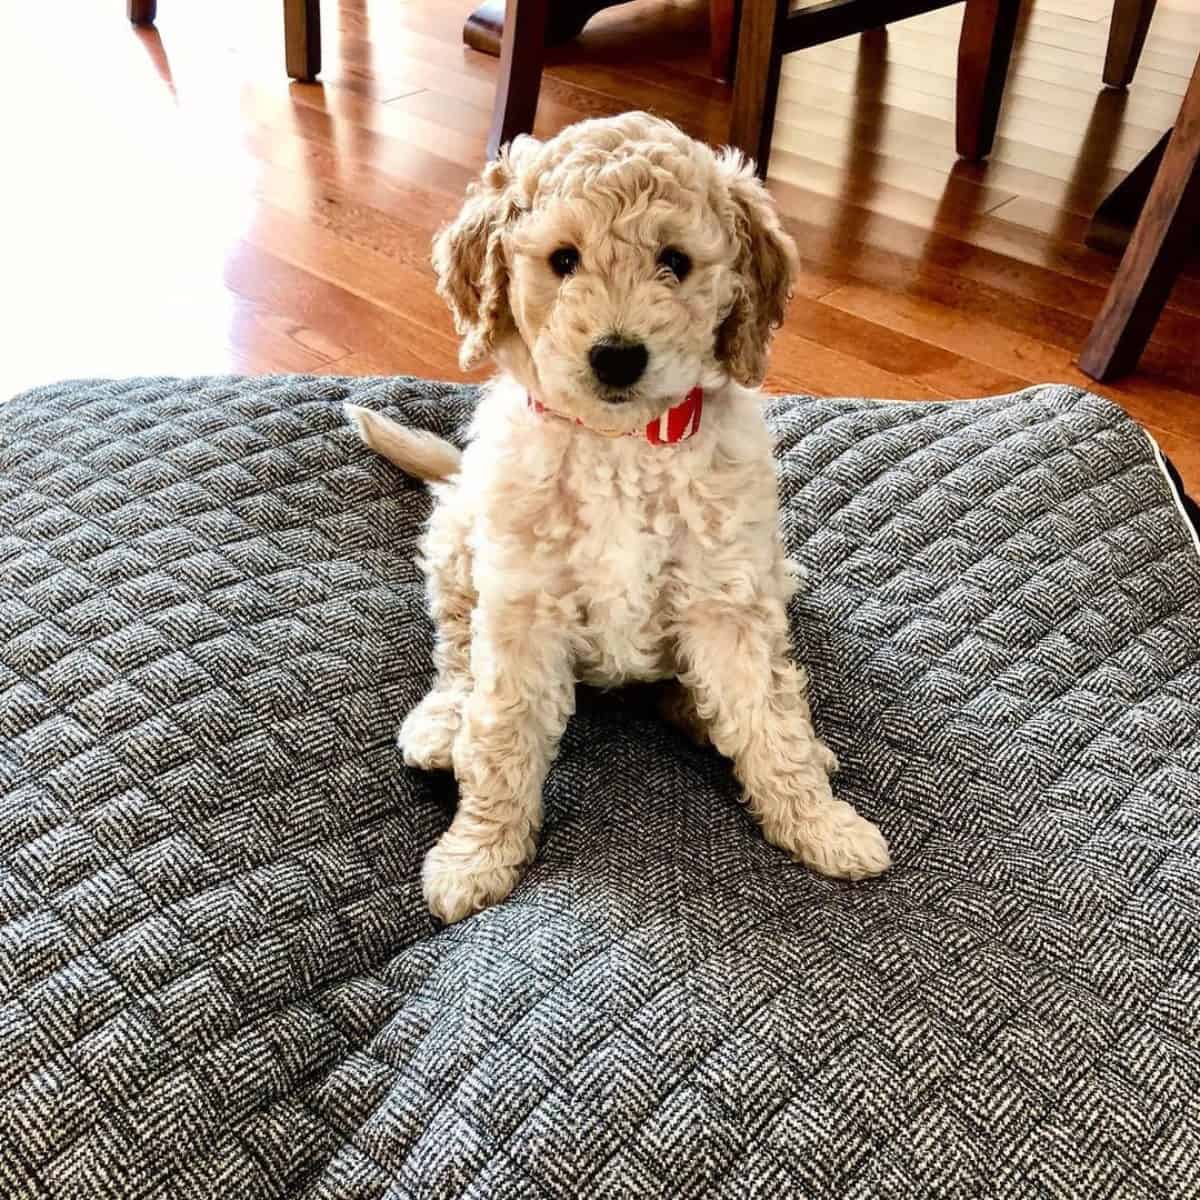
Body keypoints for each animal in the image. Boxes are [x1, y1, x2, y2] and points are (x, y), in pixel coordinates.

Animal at [348, 112, 892, 921]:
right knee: (455, 655)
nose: (616, 356)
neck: (622, 443)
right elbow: (501, 732)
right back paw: (442, 727)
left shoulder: (727, 595)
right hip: (458, 545)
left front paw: (820, 822)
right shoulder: (522, 604)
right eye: (563, 260)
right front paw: (477, 854)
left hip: (769, 571)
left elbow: (768, 716)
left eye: (675, 261)